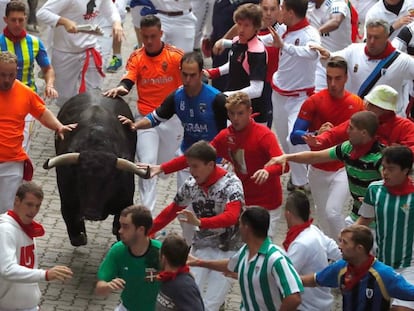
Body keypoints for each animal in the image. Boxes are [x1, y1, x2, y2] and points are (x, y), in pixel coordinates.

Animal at [42, 91, 150, 247]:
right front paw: (80, 236)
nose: (91, 213)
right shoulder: (67, 198)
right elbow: (72, 222)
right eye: (80, 180)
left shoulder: (125, 200)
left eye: (109, 182)